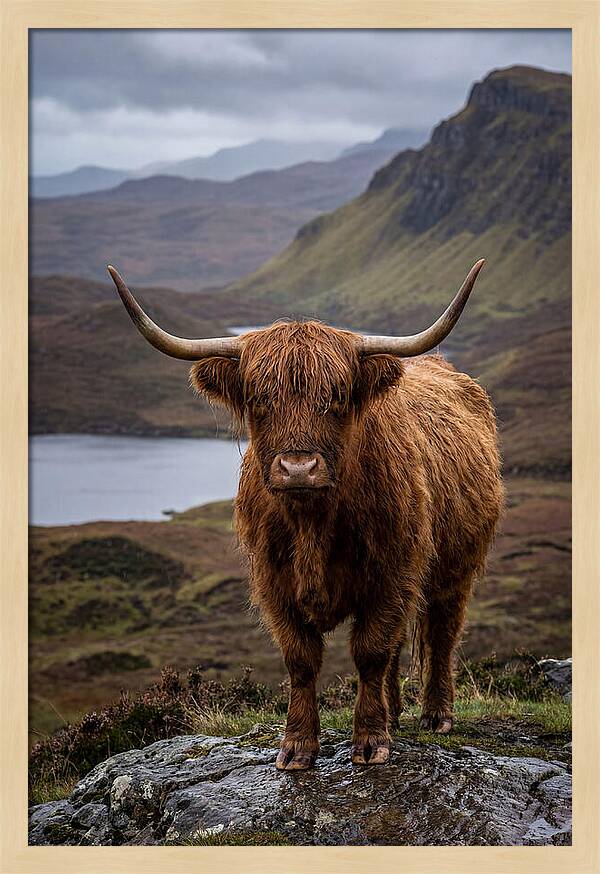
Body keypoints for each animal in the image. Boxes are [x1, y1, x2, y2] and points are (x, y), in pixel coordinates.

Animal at [108, 261, 504, 770]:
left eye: (336, 396)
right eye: (259, 398)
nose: (298, 467)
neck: (313, 522)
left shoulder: (392, 573)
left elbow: (370, 650)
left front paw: (370, 741)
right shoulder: (274, 581)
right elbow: (302, 659)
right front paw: (297, 746)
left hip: (456, 568)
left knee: (441, 632)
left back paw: (436, 715)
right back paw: (396, 713)